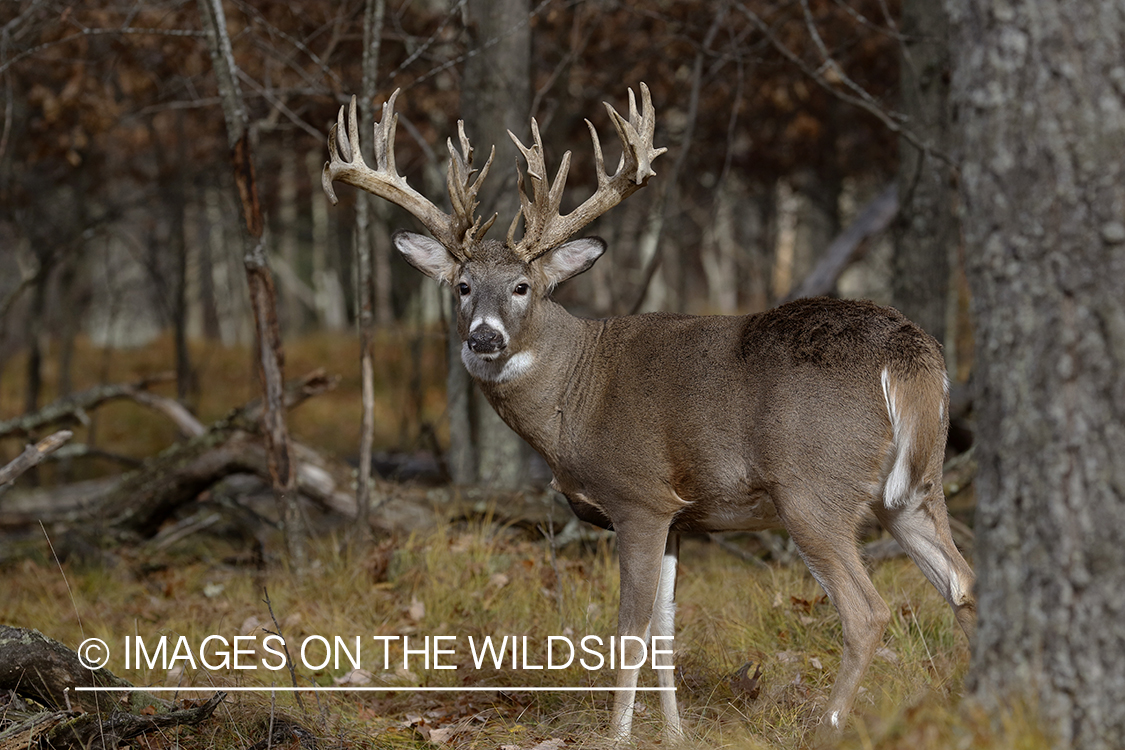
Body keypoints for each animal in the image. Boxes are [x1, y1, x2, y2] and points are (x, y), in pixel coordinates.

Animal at [321, 84, 972, 742]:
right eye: (461, 285)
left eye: (523, 286)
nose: (484, 338)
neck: (573, 395)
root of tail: (909, 352)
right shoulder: (680, 516)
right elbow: (665, 630)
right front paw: (677, 733)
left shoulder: (639, 497)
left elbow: (629, 631)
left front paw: (617, 735)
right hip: (915, 488)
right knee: (962, 581)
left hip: (813, 486)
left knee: (868, 611)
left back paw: (829, 728)